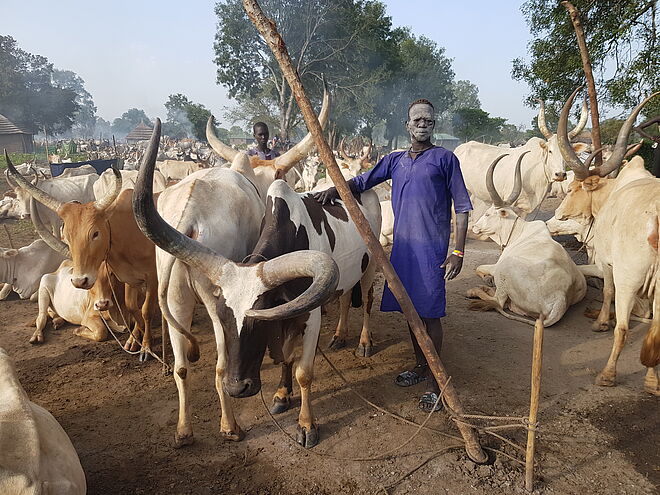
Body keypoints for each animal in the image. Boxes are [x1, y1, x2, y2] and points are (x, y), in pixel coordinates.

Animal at [466, 153, 584, 328]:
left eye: (487, 214)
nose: (475, 227)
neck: (518, 232)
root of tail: (560, 299)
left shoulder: (496, 266)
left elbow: (479, 267)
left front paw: (487, 279)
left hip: (504, 270)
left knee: (499, 301)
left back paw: (476, 290)